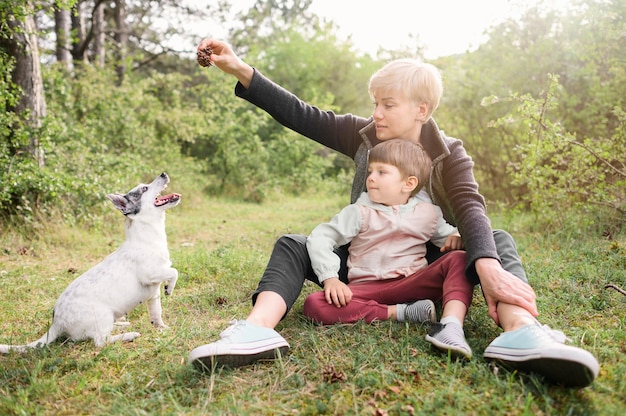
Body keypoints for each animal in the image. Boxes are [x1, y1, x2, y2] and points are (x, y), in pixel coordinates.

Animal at [0, 171, 180, 352]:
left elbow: (156, 314)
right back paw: (128, 335)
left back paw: (122, 324)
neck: (146, 237)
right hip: (103, 316)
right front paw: (170, 288)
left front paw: (162, 328)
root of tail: (56, 324)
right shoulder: (150, 275)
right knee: (101, 341)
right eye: (144, 189)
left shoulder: (153, 294)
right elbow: (174, 272)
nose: (163, 173)